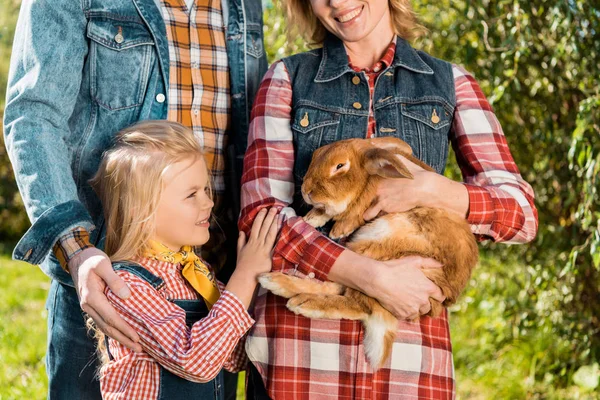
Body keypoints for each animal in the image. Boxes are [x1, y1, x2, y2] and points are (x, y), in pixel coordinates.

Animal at [258, 137, 478, 368]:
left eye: (339, 166)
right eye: (316, 155)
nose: (306, 191)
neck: (369, 180)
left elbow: (351, 212)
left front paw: (338, 228)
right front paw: (311, 218)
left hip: (378, 246)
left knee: (358, 303)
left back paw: (300, 300)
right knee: (342, 288)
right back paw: (277, 283)